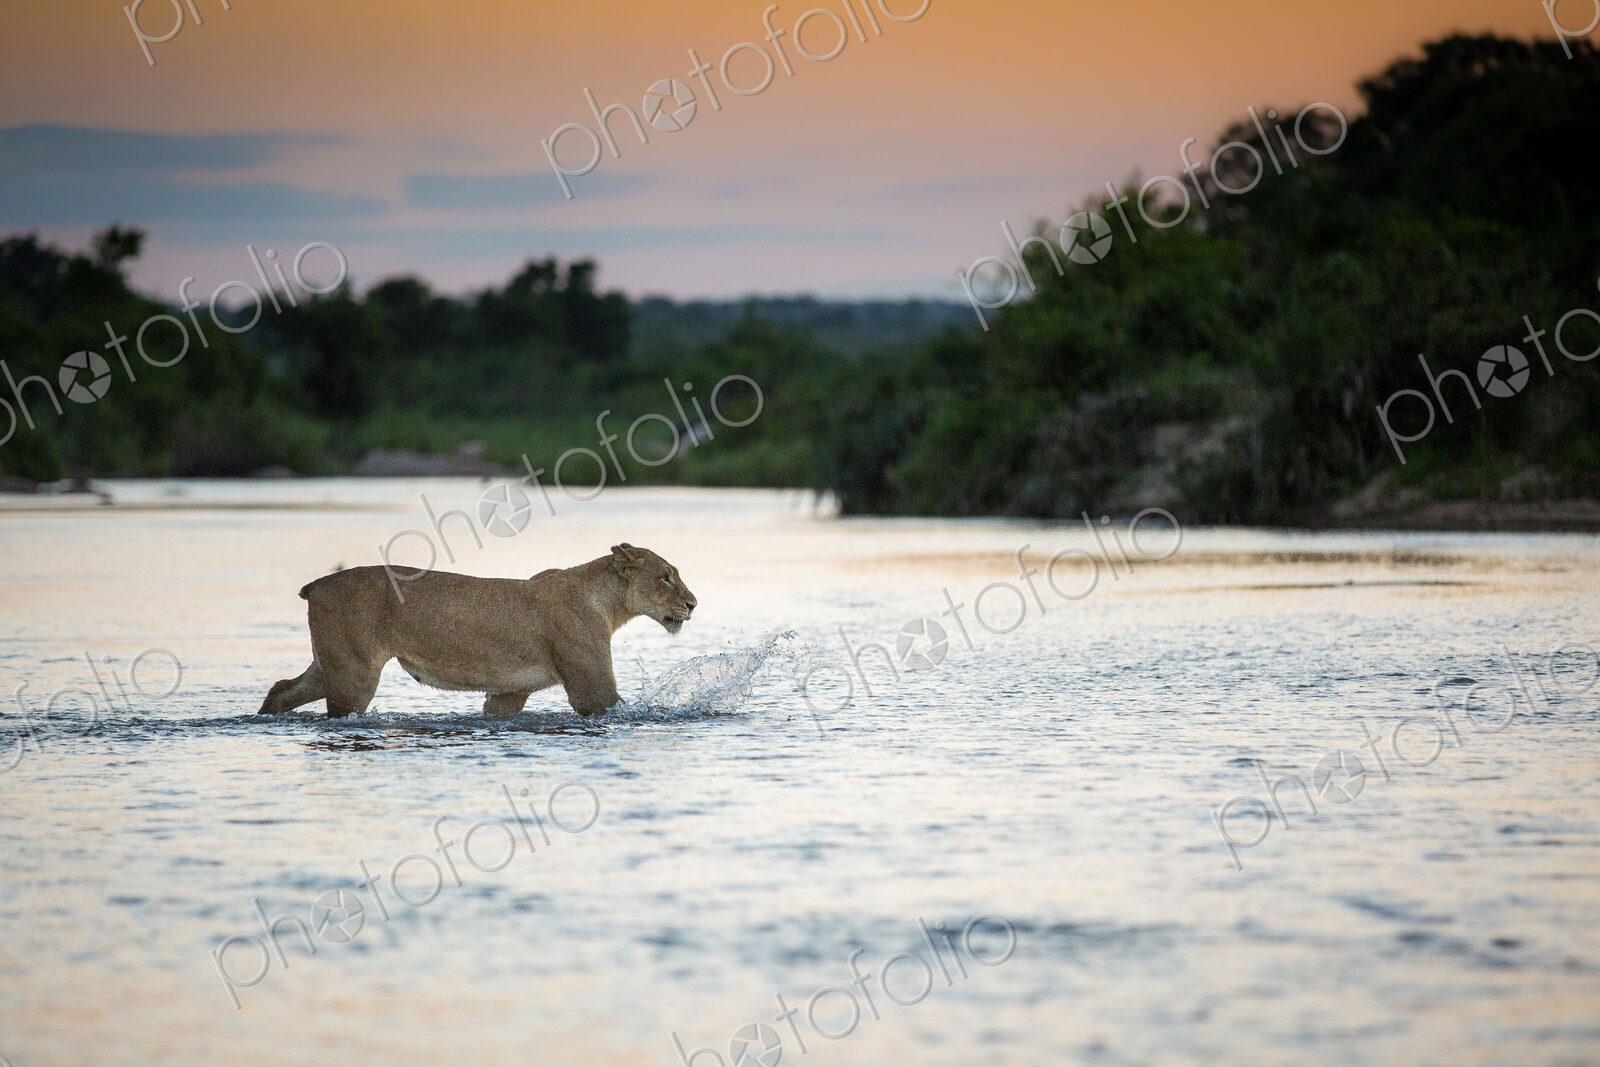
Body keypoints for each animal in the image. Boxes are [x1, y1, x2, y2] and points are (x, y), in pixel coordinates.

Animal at [258, 543, 696, 718]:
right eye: (666, 577)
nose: (693, 604)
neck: (607, 603)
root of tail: (316, 585)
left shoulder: (508, 692)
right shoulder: (593, 691)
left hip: (330, 665)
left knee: (281, 688)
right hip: (355, 676)